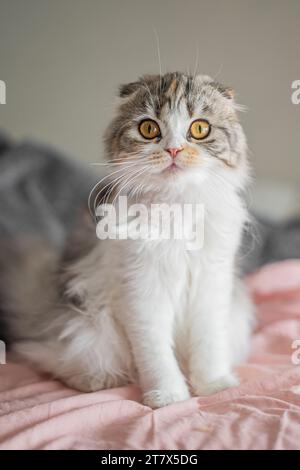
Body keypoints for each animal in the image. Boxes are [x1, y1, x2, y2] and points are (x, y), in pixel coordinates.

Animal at [0, 73, 253, 408]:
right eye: (149, 129)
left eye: (200, 129)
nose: (174, 150)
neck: (176, 208)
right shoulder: (141, 289)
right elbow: (156, 354)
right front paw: (167, 397)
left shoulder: (211, 282)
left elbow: (208, 344)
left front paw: (214, 386)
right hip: (87, 331)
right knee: (52, 358)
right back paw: (97, 381)